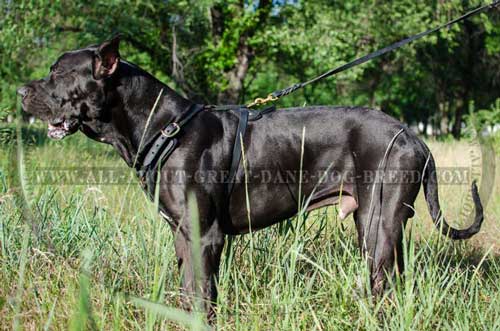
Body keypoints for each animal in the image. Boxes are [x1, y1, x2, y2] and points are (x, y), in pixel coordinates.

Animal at [19, 37, 484, 322]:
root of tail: (413, 134)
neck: (163, 127)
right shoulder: (182, 233)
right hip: (381, 224)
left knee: (383, 284)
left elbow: (203, 294)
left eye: (58, 73)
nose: (21, 91)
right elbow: (189, 289)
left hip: (378, 223)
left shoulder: (206, 235)